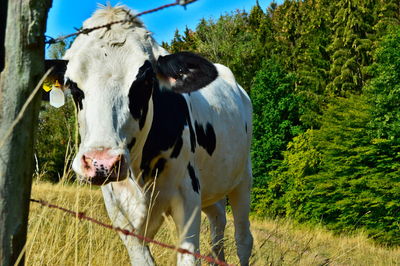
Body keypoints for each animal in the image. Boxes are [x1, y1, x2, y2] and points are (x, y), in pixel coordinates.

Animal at [47, 4, 252, 266]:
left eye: (145, 81)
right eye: (72, 85)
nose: (102, 163)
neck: (139, 172)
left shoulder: (187, 194)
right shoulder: (116, 207)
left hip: (243, 178)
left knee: (243, 239)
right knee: (218, 227)